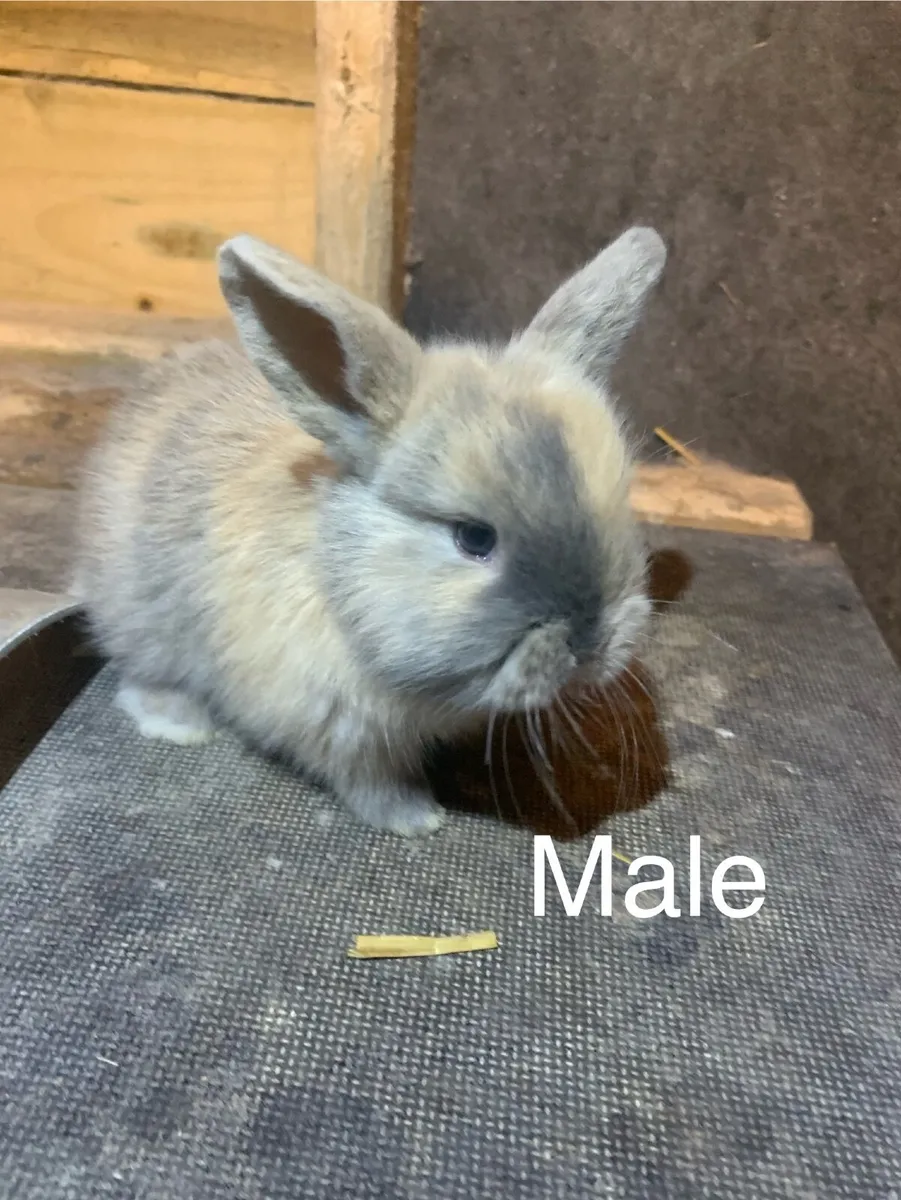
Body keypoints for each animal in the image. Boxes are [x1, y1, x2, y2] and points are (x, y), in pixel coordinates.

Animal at [73, 226, 666, 836]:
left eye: (619, 505)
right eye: (473, 538)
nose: (592, 643)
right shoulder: (342, 733)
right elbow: (370, 784)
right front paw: (419, 819)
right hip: (143, 625)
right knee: (140, 677)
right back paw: (181, 723)